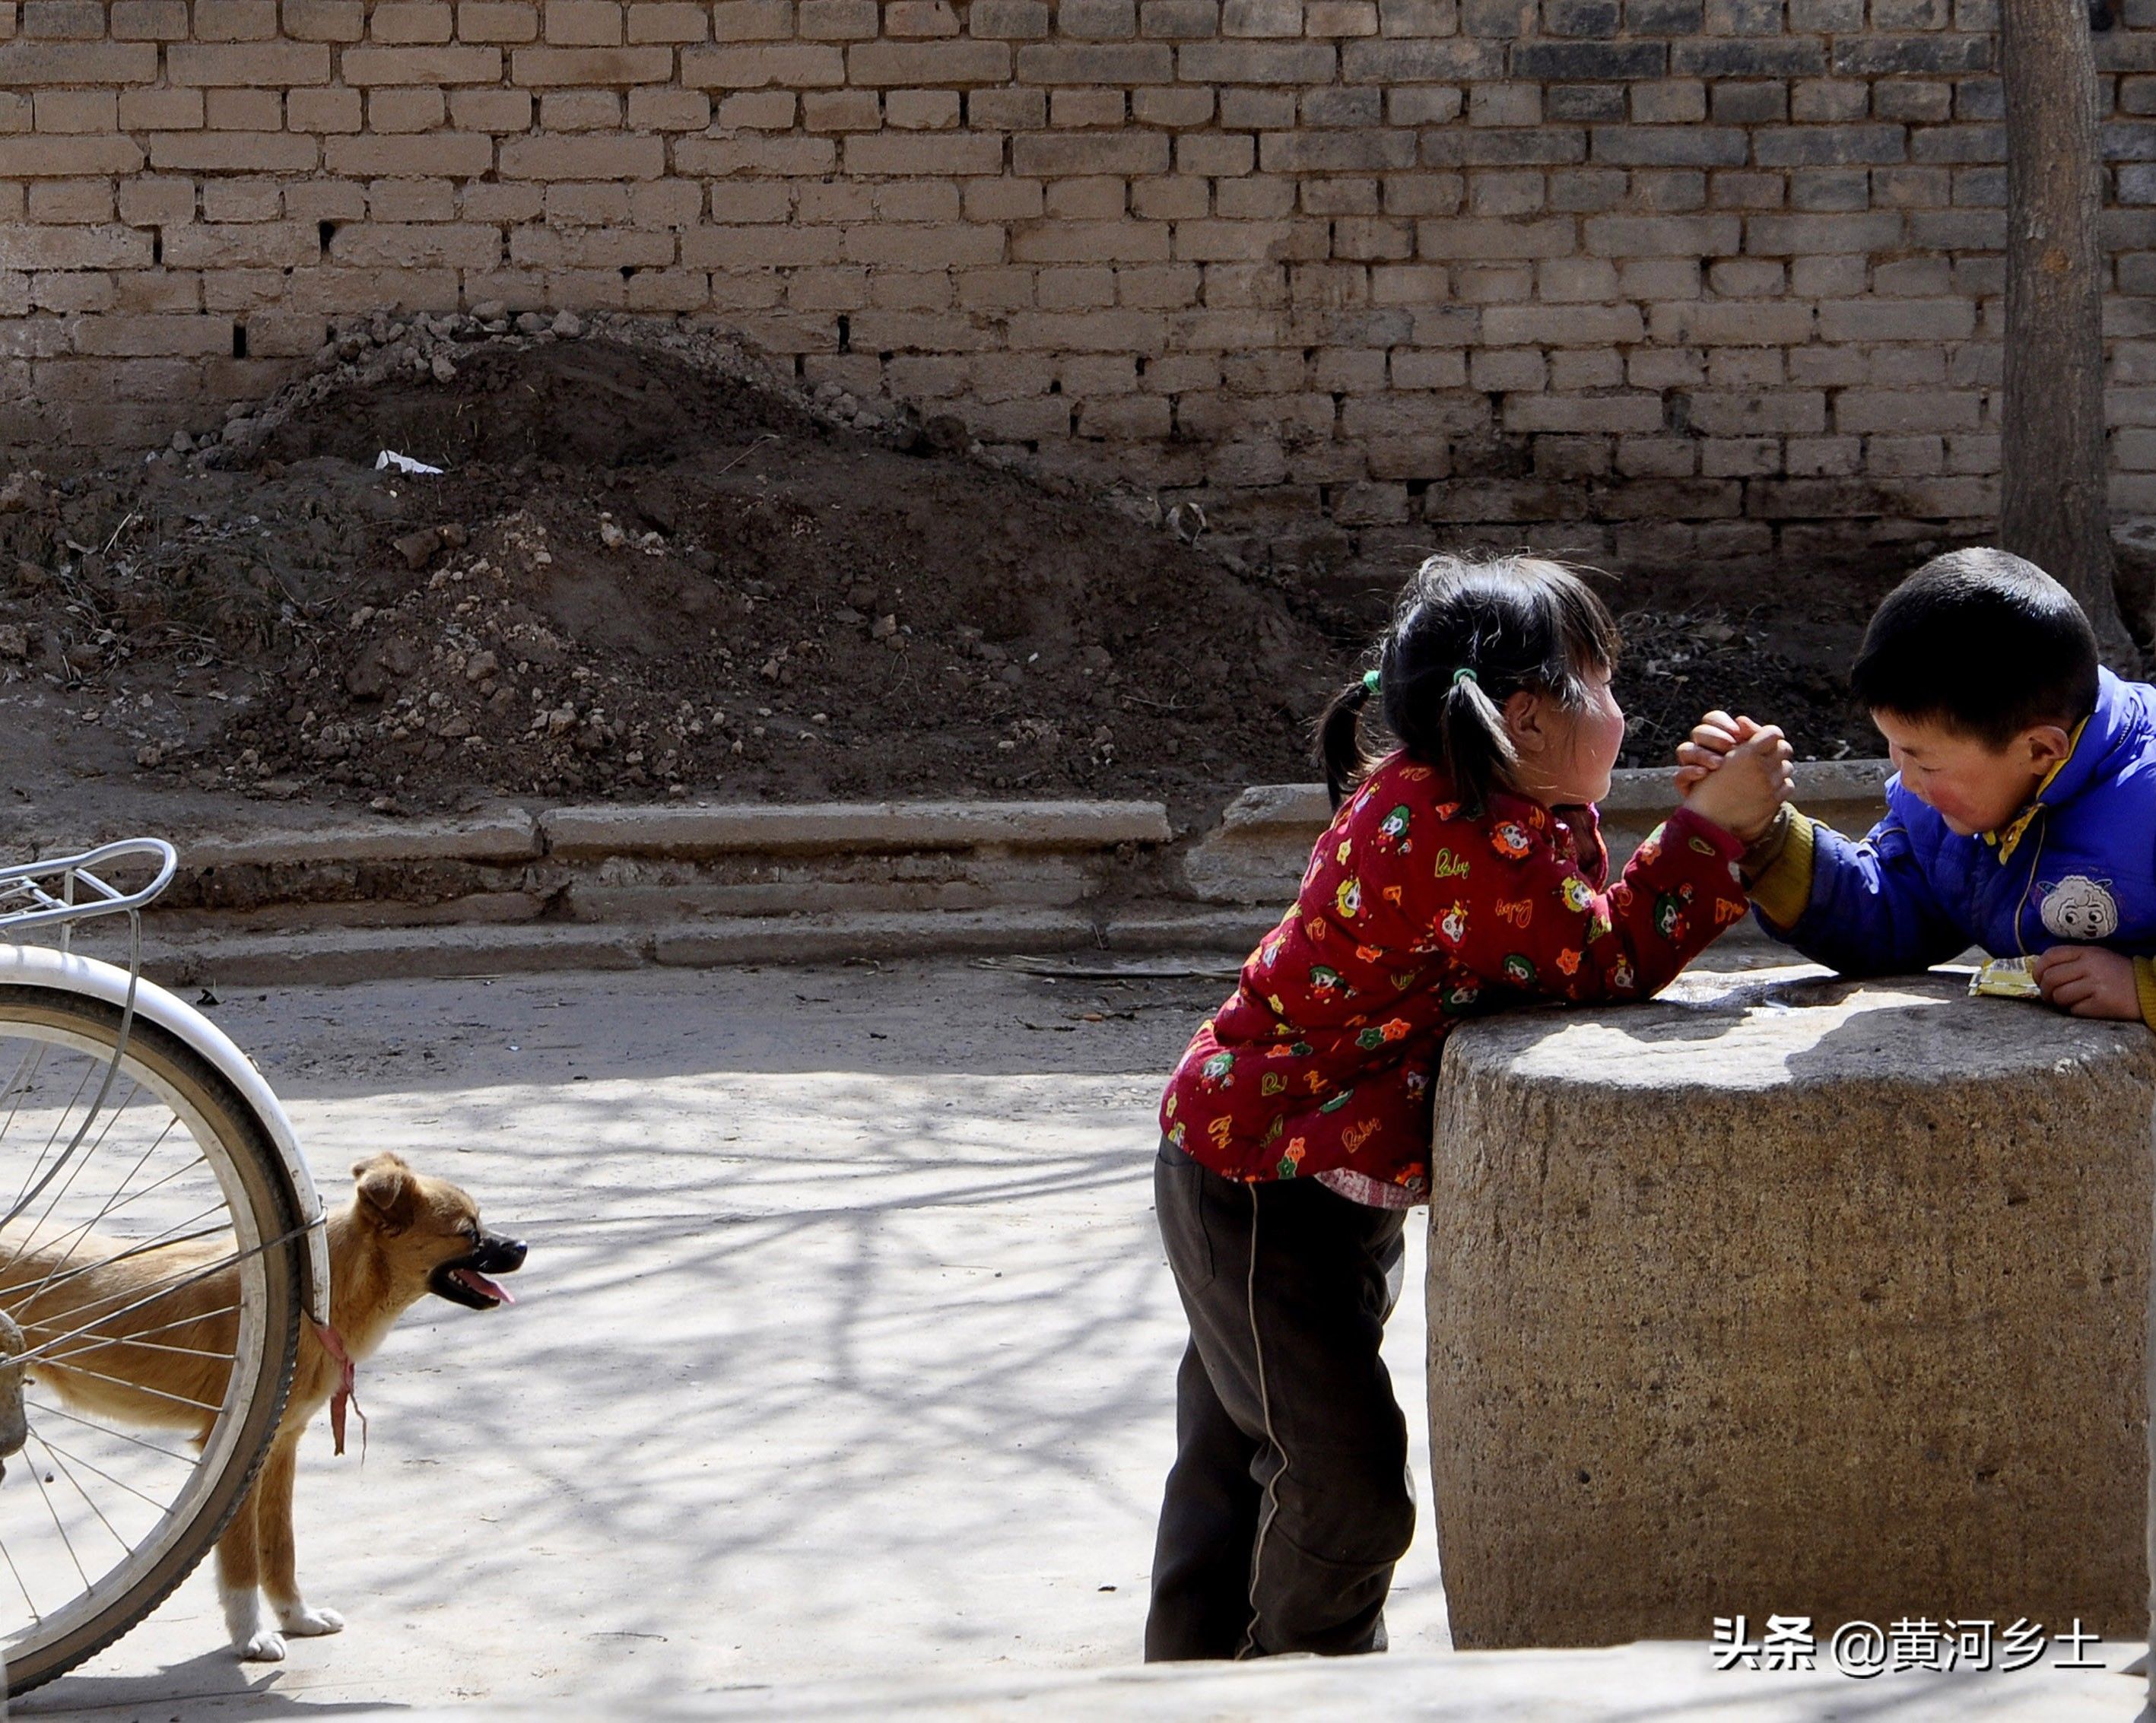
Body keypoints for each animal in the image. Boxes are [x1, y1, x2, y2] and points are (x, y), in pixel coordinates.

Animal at [0, 1156, 522, 1664]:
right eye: (468, 1231)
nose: (522, 1246)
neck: (317, 1297)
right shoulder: (234, 1456)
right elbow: (241, 1560)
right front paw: (249, 1636)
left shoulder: (279, 1446)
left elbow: (280, 1548)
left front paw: (298, 1617)